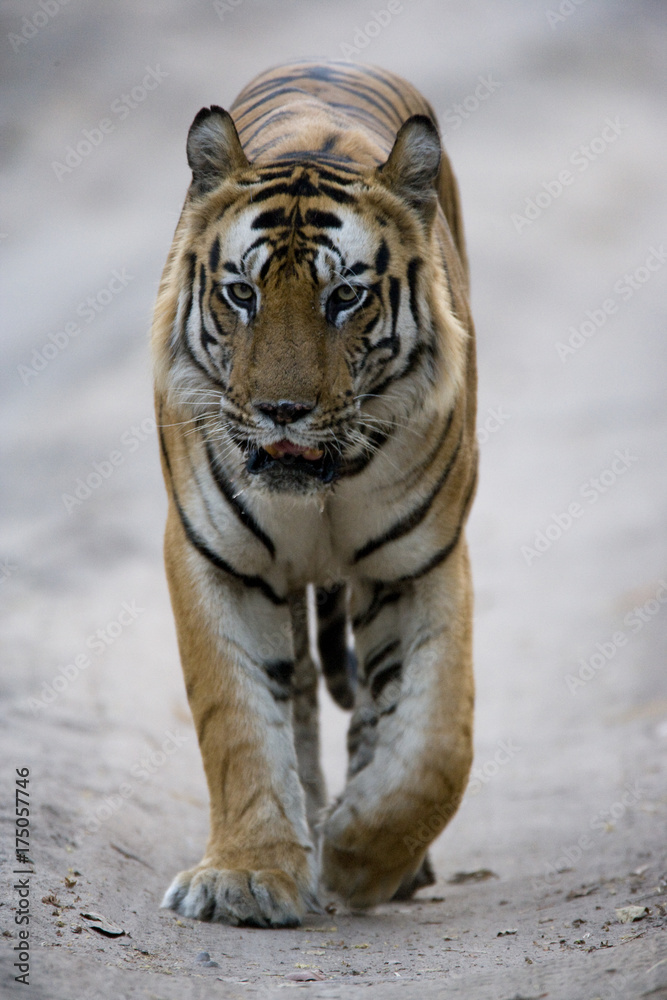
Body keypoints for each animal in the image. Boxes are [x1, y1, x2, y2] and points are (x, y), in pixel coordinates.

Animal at [151, 60, 477, 928]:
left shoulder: (419, 563)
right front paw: (247, 877)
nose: (282, 410)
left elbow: (434, 745)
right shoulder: (217, 559)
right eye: (241, 294)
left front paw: (360, 858)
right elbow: (237, 723)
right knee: (294, 695)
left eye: (345, 298)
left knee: (373, 709)